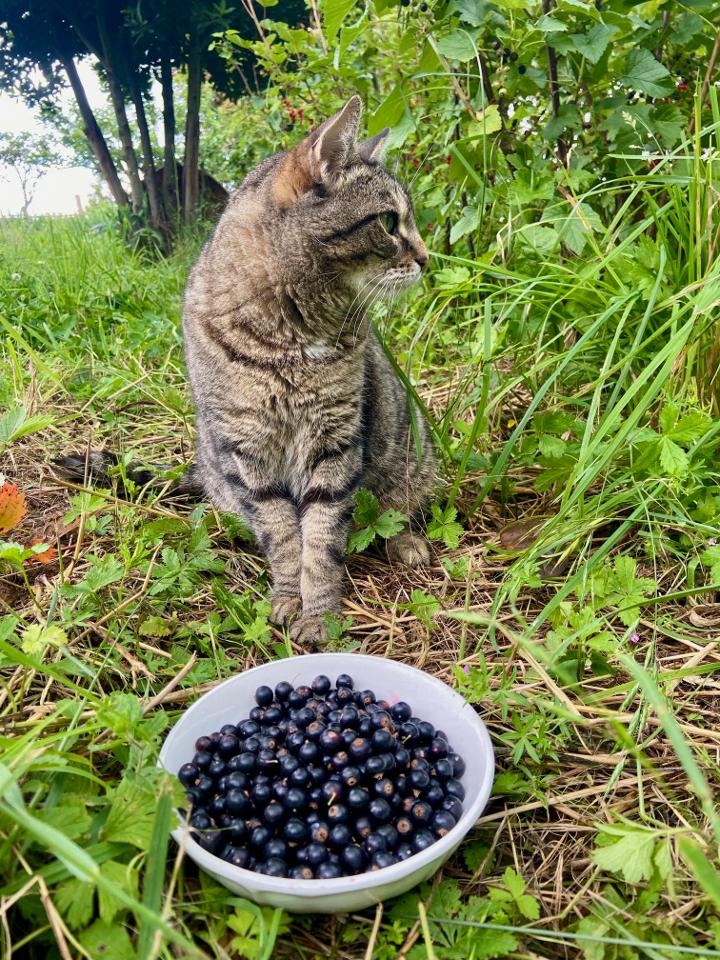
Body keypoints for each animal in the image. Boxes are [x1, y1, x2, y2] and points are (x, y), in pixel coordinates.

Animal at [60, 95, 434, 644]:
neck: (292, 335)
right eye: (389, 222)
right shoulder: (246, 449)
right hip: (223, 470)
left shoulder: (336, 441)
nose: (427, 258)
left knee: (399, 509)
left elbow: (322, 538)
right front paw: (289, 598)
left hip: (411, 453)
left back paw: (407, 542)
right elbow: (283, 533)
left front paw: (318, 613)